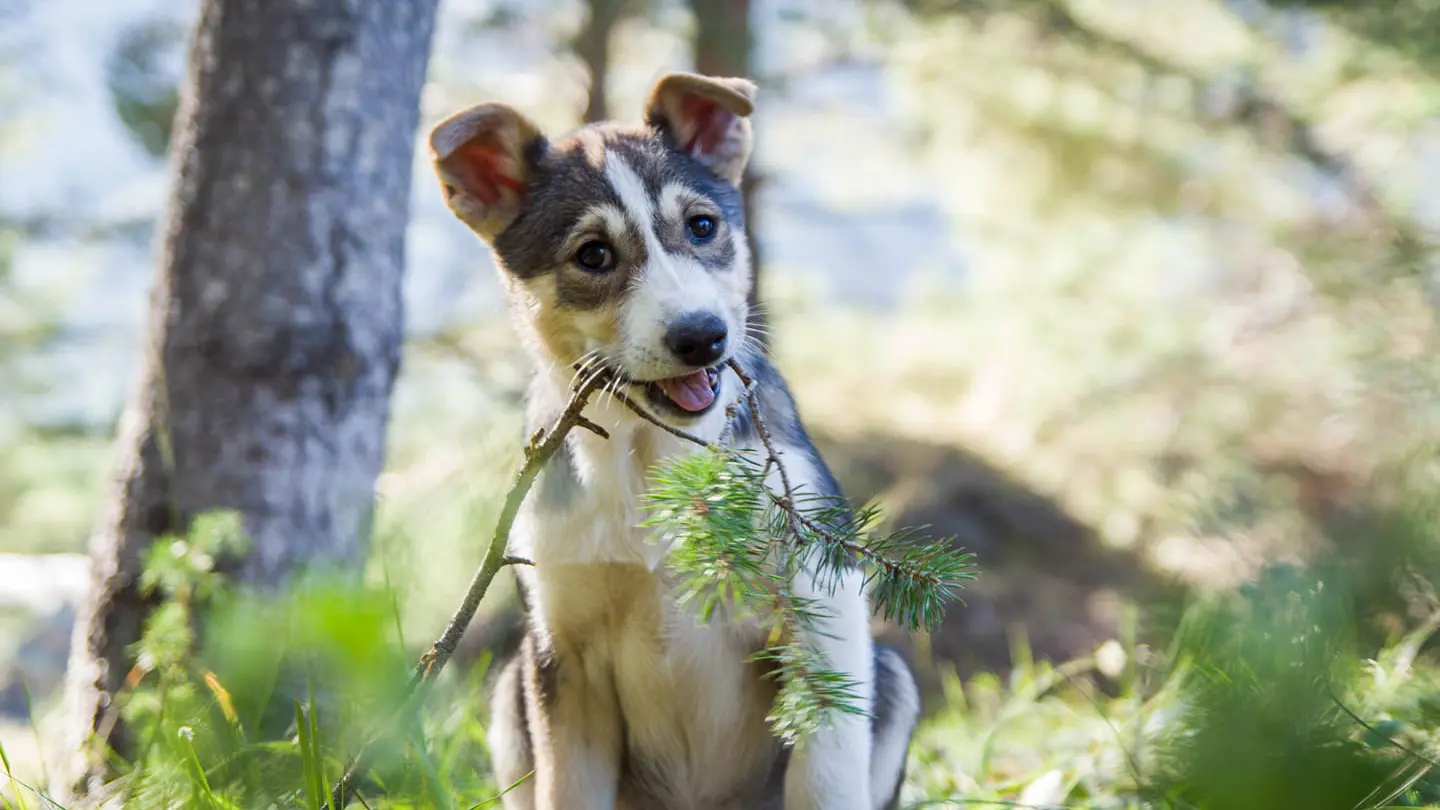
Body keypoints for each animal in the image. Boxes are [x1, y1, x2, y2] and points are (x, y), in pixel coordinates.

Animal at [429, 70, 921, 807]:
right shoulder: (564, 656)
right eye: (593, 255)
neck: (651, 461)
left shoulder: (821, 620)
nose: (702, 336)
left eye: (703, 226)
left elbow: (825, 779)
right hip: (511, 692)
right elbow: (569, 789)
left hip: (891, 674)